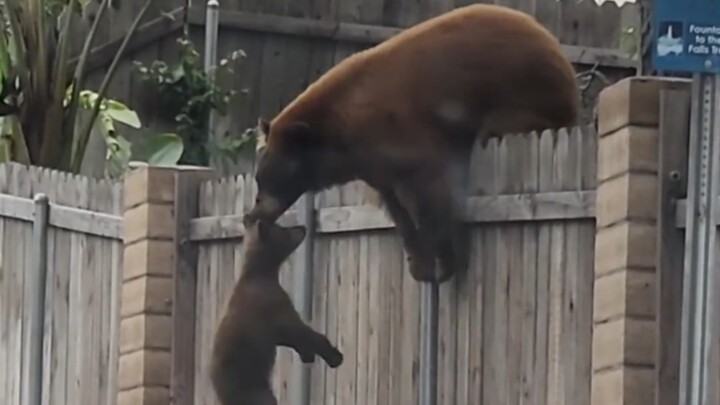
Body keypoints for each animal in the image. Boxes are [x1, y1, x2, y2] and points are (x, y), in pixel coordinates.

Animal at [209, 215, 343, 405]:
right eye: (283, 229)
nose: (302, 227)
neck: (259, 273)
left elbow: (290, 338)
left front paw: (307, 354)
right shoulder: (276, 306)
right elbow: (302, 331)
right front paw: (333, 355)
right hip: (255, 391)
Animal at [245, 4, 580, 284]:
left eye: (273, 176)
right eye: (258, 178)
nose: (252, 215)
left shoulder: (405, 133)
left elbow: (429, 189)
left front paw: (444, 261)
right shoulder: (373, 162)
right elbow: (395, 204)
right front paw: (419, 262)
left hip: (524, 95)